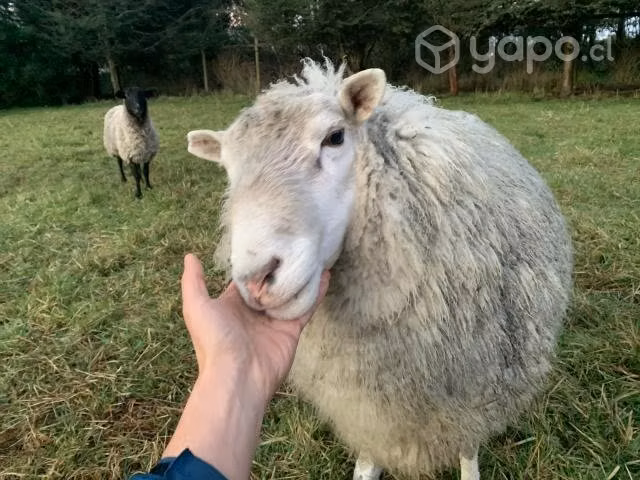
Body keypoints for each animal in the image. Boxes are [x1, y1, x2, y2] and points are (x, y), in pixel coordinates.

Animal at [186, 59, 573, 480]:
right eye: (227, 167)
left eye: (335, 137)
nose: (257, 278)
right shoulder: (366, 406)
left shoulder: (477, 385)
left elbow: (468, 444)